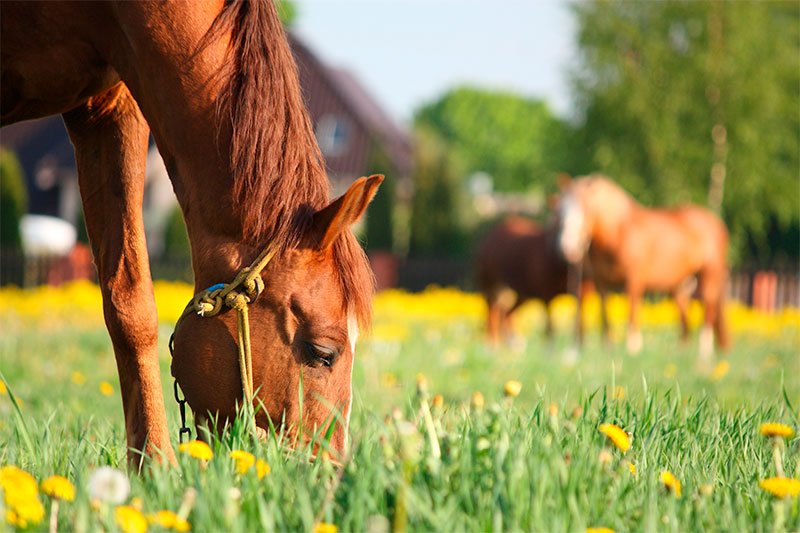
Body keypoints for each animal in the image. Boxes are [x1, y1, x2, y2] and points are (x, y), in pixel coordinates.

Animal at [552, 174, 728, 362]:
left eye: (586, 208)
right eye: (560, 211)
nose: (568, 247)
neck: (617, 234)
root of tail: (716, 221)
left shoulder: (634, 279)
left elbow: (632, 311)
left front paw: (632, 348)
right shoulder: (602, 282)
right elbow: (605, 315)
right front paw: (608, 349)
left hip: (710, 275)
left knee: (708, 310)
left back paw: (704, 354)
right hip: (680, 285)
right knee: (684, 319)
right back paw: (681, 352)